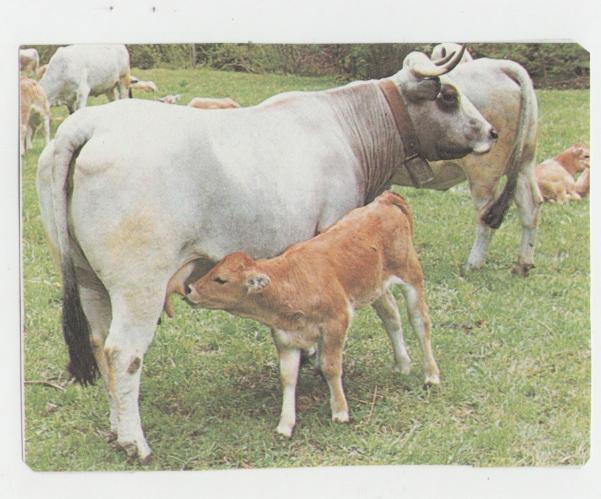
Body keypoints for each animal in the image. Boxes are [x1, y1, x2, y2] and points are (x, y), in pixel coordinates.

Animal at [185, 192, 437, 437]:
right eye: (212, 270)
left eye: (221, 279)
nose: (190, 289)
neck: (292, 283)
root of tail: (385, 200)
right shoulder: (285, 338)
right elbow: (288, 377)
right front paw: (285, 425)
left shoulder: (337, 322)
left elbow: (330, 367)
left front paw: (340, 411)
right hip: (377, 288)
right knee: (391, 318)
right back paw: (402, 364)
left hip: (411, 275)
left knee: (420, 322)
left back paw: (431, 375)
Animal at [412, 43, 540, 275]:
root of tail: (500, 66)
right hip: (524, 161)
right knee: (530, 206)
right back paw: (522, 265)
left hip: (483, 170)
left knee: (484, 214)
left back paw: (473, 264)